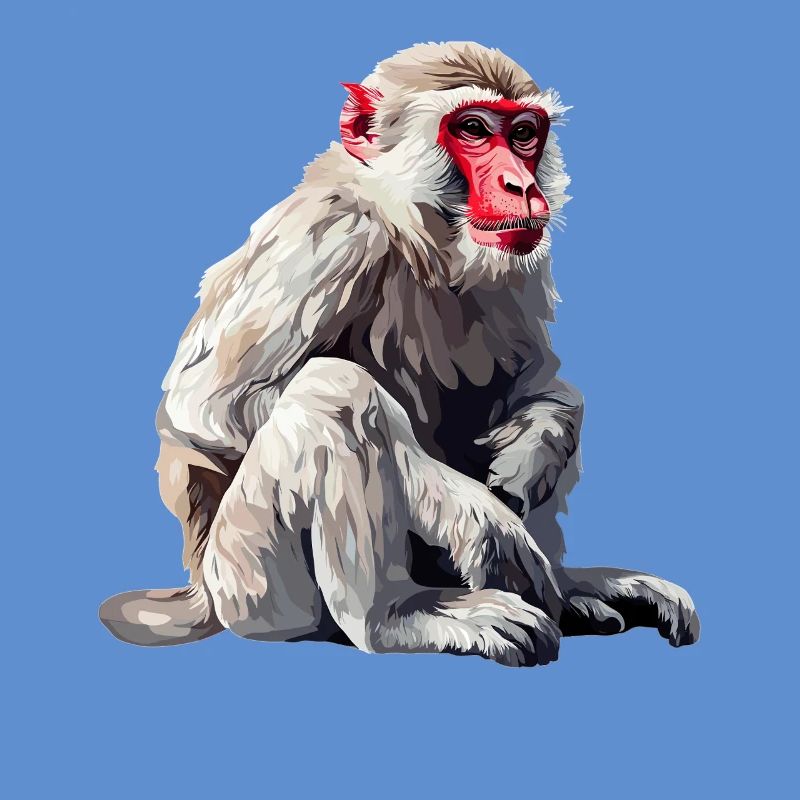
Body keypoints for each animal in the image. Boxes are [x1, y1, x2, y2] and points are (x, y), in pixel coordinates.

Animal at [100, 42, 700, 666]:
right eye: (473, 129)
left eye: (524, 134)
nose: (520, 185)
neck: (416, 230)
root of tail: (202, 592)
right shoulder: (331, 235)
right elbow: (207, 410)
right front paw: (471, 511)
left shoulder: (519, 260)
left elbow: (540, 381)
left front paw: (535, 447)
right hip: (251, 584)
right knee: (334, 393)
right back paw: (398, 616)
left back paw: (570, 591)